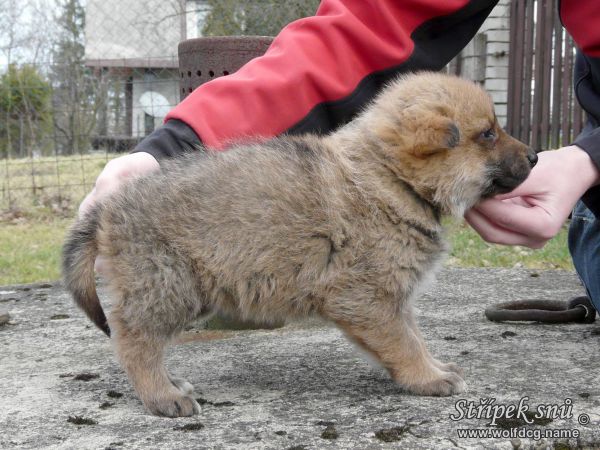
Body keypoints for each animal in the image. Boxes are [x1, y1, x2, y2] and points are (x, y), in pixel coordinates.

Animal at [63, 71, 536, 418]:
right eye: (488, 134)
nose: (535, 157)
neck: (389, 176)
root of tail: (107, 209)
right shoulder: (370, 298)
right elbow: (405, 342)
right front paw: (427, 378)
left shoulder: (389, 299)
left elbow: (411, 337)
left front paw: (433, 368)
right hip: (168, 285)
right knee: (135, 340)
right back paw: (162, 394)